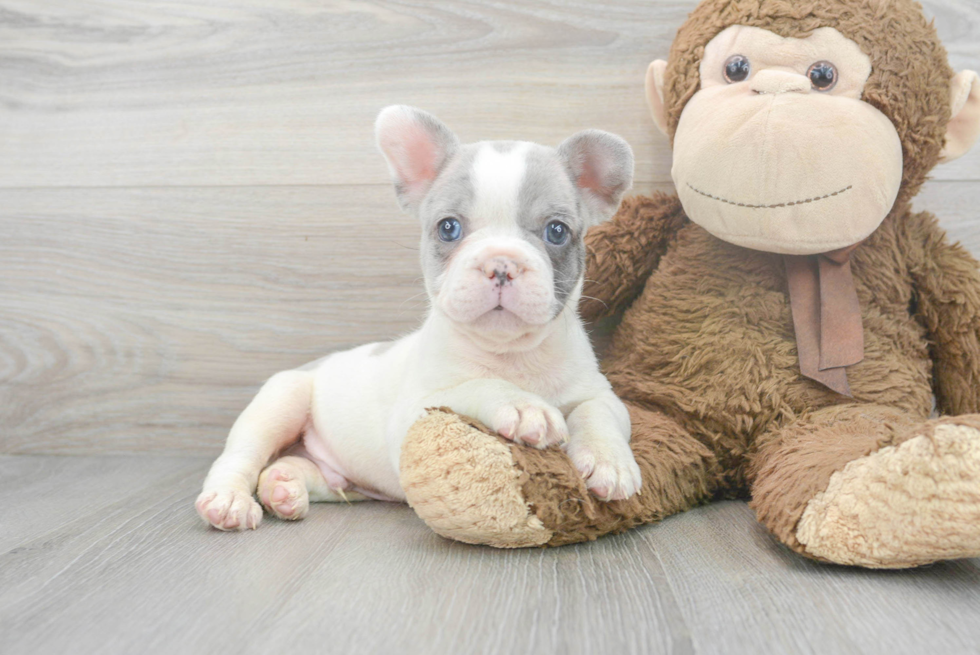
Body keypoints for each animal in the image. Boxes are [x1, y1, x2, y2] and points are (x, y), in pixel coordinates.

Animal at [197, 105, 644, 532]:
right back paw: (229, 500)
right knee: (240, 456)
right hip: (280, 400)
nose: (501, 263)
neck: (512, 353)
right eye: (448, 228)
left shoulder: (599, 393)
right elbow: (476, 385)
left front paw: (609, 461)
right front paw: (521, 406)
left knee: (308, 473)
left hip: (334, 473)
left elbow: (599, 413)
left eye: (557, 231)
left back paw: (284, 487)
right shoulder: (417, 413)